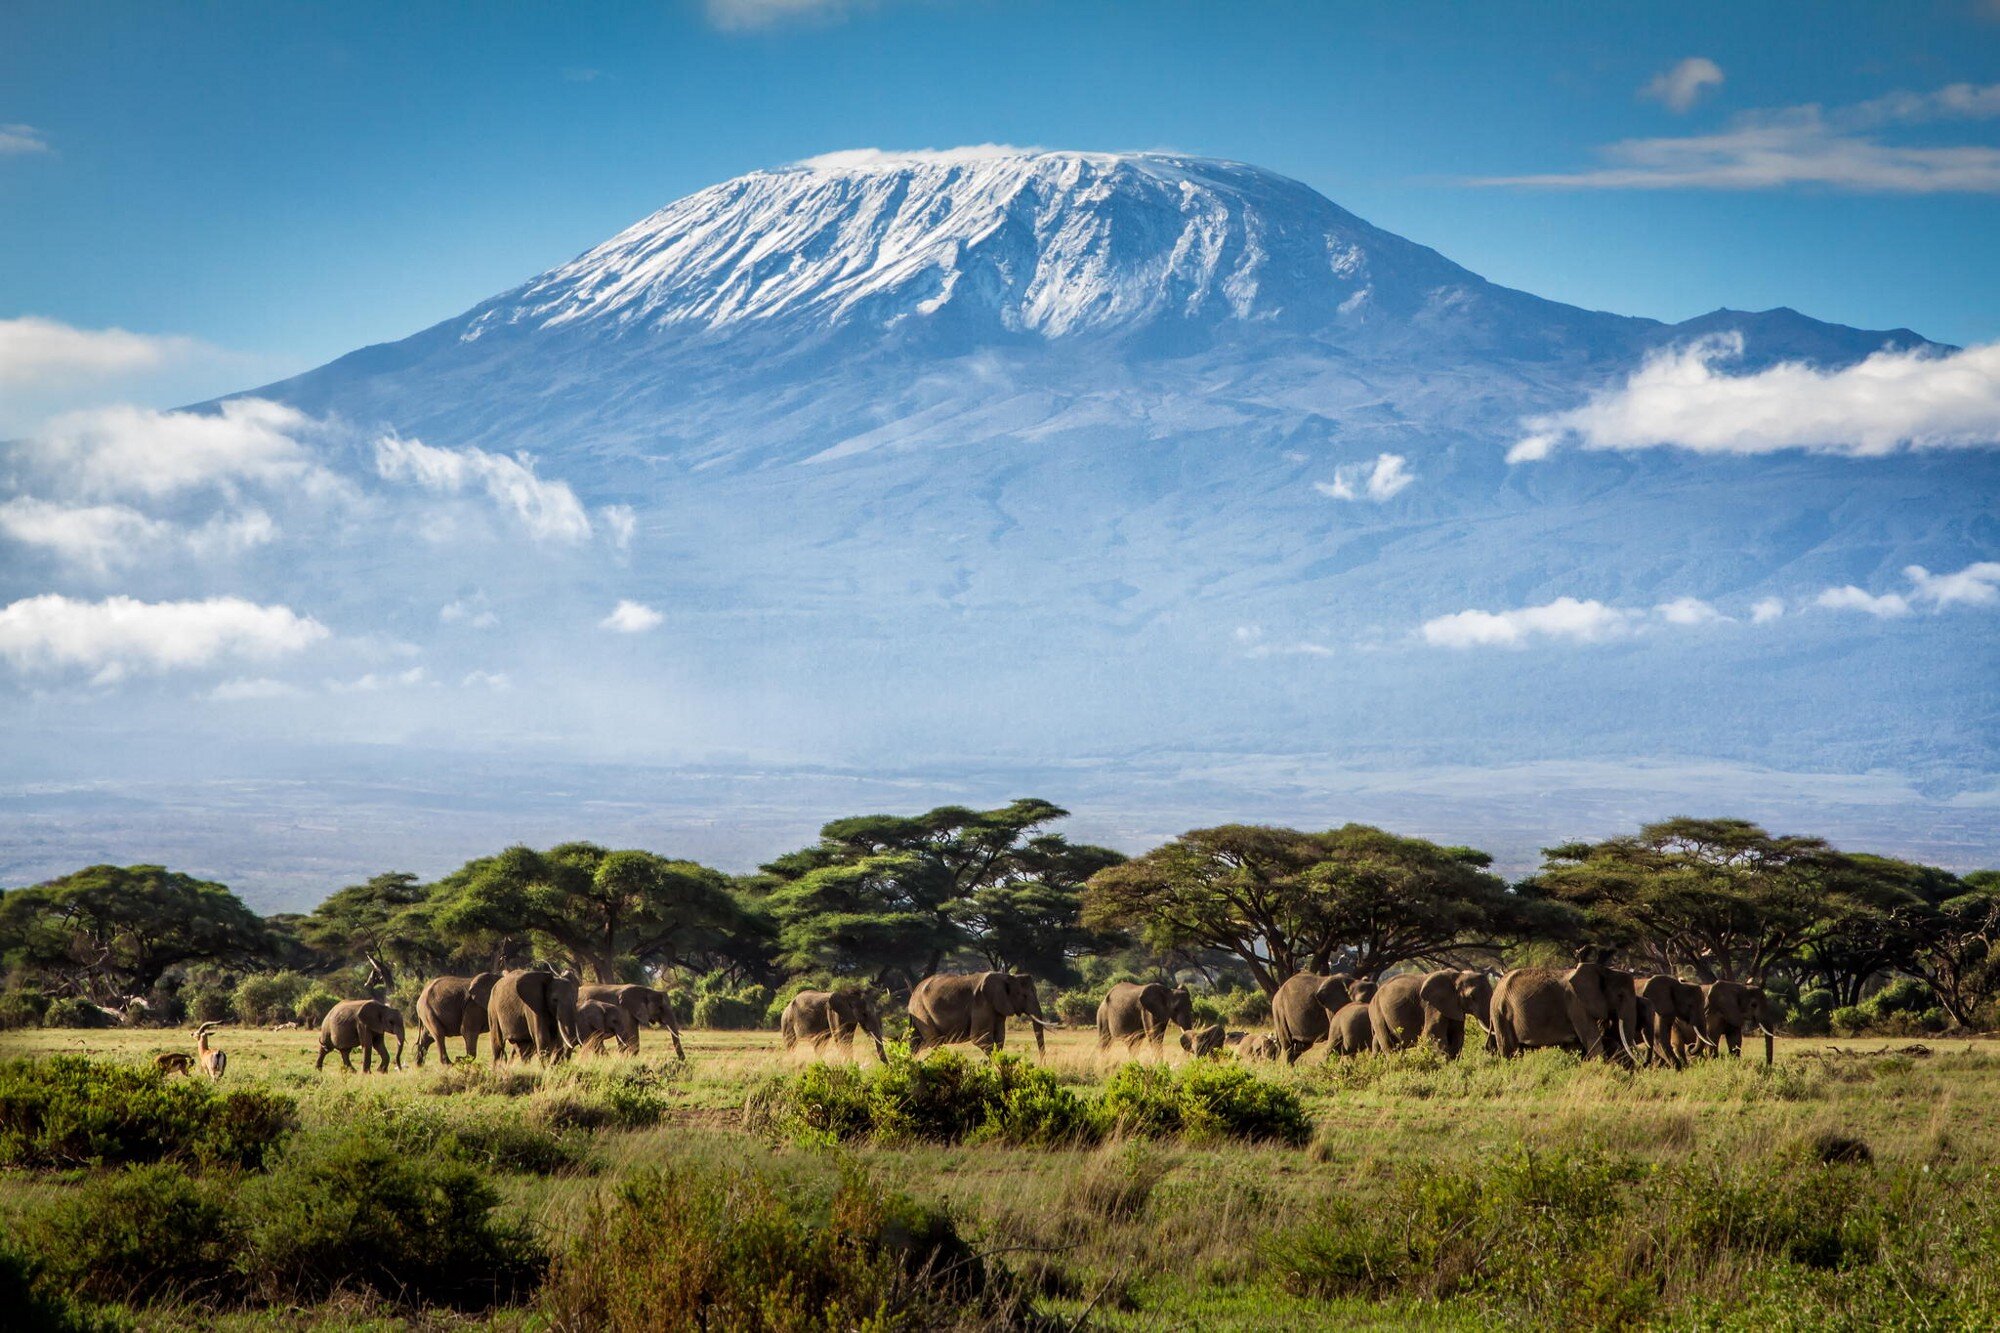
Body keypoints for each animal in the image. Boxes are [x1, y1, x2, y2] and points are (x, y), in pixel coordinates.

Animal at [907, 971, 1054, 1056]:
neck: (1006, 977)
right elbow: (980, 1039)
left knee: (915, 1042)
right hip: (921, 1011)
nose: (1043, 1066)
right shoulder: (982, 1003)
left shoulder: (997, 1008)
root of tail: (912, 996)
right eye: (1023, 995)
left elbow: (1000, 1038)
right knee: (934, 1042)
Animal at [1490, 962, 1642, 1062]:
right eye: (1620, 996)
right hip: (1501, 1012)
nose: (1642, 1063)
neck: (1604, 970)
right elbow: (1591, 1040)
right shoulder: (1576, 1003)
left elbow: (1576, 1046)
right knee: (1509, 1050)